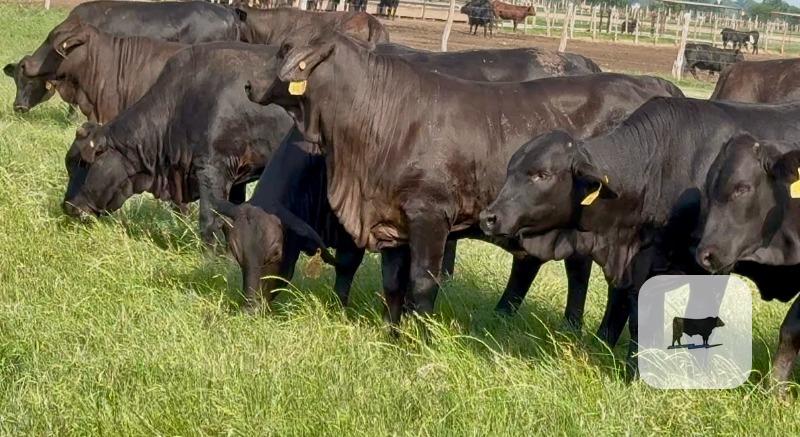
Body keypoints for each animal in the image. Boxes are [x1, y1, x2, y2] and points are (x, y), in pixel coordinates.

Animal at [244, 30, 682, 329]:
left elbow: (422, 283)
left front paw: (417, 339)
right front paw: (390, 333)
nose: (249, 83)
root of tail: (653, 83)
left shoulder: (430, 215)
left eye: (285, 50)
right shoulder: (394, 220)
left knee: (612, 283)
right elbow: (392, 283)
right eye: (236, 253)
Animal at [480, 98, 800, 376]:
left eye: (542, 174)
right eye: (510, 169)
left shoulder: (712, 266)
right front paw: (609, 352)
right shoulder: (632, 267)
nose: (488, 217)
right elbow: (625, 313)